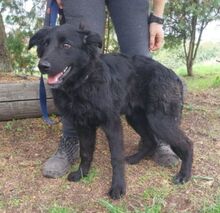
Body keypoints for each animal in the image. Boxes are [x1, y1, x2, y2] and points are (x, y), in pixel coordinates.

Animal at [28, 23, 192, 200]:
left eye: (66, 45)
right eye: (44, 45)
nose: (42, 66)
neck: (83, 83)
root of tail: (173, 74)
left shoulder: (112, 124)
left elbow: (116, 158)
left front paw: (118, 187)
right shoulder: (83, 126)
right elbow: (85, 152)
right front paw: (82, 173)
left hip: (159, 121)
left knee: (187, 143)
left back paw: (184, 175)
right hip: (135, 118)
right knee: (151, 141)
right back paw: (135, 158)